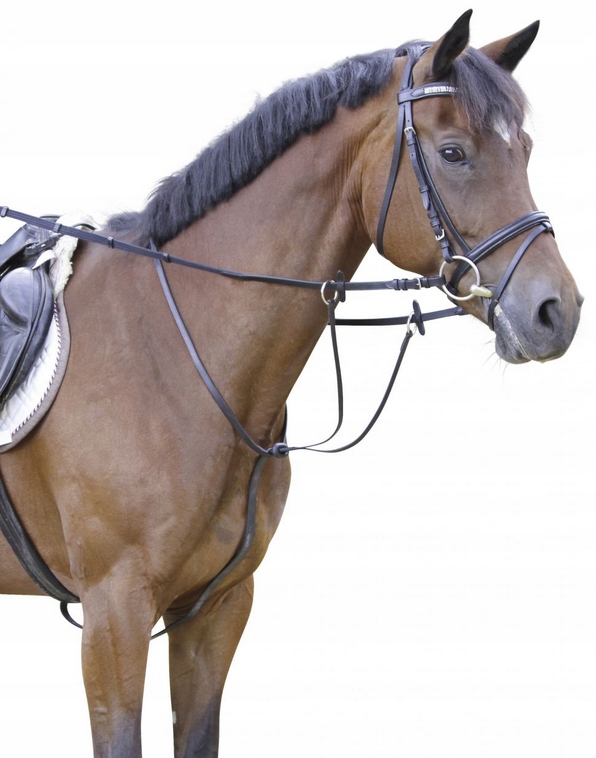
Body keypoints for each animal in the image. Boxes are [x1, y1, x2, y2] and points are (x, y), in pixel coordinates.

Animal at [0, 10, 582, 758]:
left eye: (526, 149)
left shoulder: (215, 608)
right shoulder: (114, 614)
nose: (557, 311)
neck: (169, 350)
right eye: (454, 153)